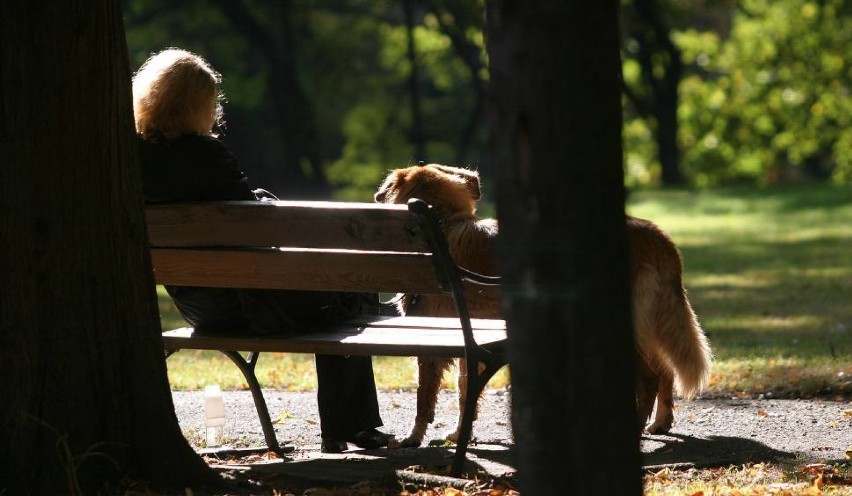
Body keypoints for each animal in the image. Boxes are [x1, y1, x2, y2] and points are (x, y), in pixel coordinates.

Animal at [376, 164, 716, 446]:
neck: (440, 225)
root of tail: (656, 235)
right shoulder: (468, 341)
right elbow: (464, 393)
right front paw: (461, 434)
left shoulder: (432, 343)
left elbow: (424, 398)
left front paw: (413, 438)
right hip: (650, 321)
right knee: (665, 370)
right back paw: (661, 423)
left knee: (649, 377)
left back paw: (636, 428)